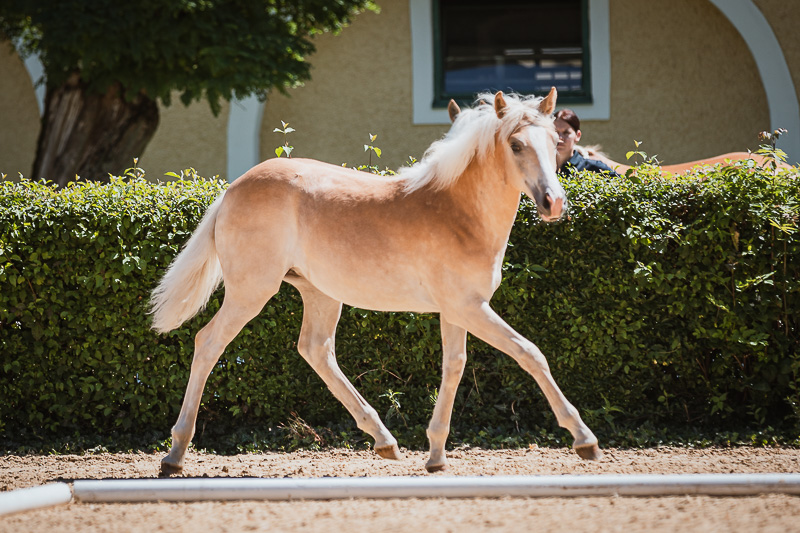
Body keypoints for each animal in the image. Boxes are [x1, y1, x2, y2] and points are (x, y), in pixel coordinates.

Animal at [150, 88, 602, 476]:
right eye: (516, 145)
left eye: (553, 142)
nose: (553, 203)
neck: (458, 213)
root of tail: (232, 190)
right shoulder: (470, 308)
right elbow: (530, 353)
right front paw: (585, 440)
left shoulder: (458, 310)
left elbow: (454, 366)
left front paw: (435, 456)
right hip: (251, 291)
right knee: (208, 342)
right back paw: (175, 454)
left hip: (319, 293)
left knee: (316, 350)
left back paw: (384, 439)